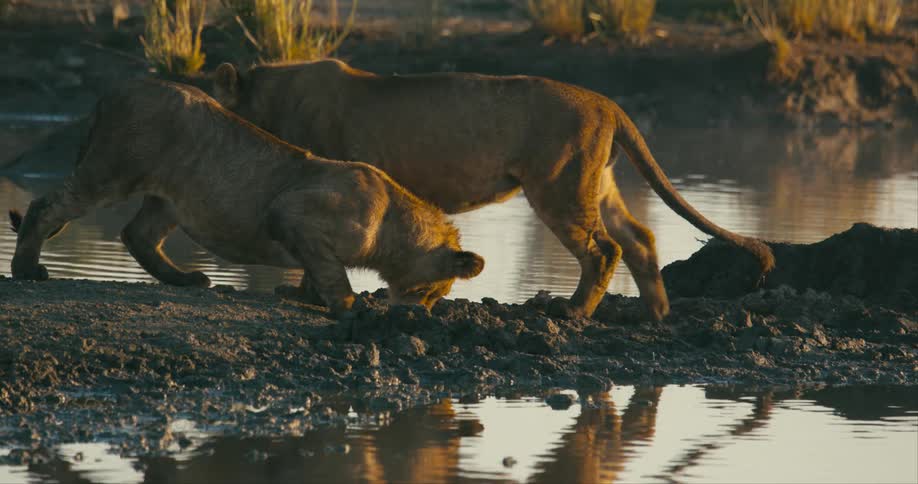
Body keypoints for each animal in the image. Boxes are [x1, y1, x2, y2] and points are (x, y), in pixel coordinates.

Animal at [8, 79, 485, 315]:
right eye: (434, 292)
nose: (421, 314)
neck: (394, 224)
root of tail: (113, 91)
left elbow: (316, 268)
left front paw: (304, 296)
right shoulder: (292, 212)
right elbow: (331, 270)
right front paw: (349, 306)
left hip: (171, 198)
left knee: (138, 235)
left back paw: (186, 280)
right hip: (112, 171)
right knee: (46, 206)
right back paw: (26, 270)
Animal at [212, 59, 775, 320]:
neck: (265, 96)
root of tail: (608, 102)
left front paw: (304, 295)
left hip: (559, 185)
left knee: (605, 248)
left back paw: (573, 312)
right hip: (597, 184)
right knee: (639, 239)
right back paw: (656, 314)